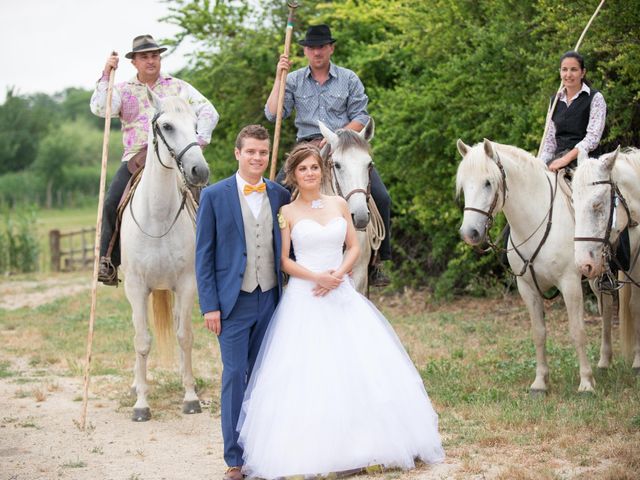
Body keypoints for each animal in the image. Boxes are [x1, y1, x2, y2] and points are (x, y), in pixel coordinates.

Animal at [120, 90, 210, 420]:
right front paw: (141, 403)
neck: (157, 218)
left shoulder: (186, 284)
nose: (199, 170)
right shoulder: (135, 288)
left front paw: (190, 397)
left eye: (196, 125)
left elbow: (185, 337)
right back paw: (136, 384)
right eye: (167, 126)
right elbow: (142, 341)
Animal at [456, 139, 596, 394]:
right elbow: (538, 333)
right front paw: (540, 382)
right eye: (463, 185)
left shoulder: (570, 284)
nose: (469, 233)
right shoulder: (527, 287)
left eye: (488, 183)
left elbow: (577, 330)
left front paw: (586, 383)